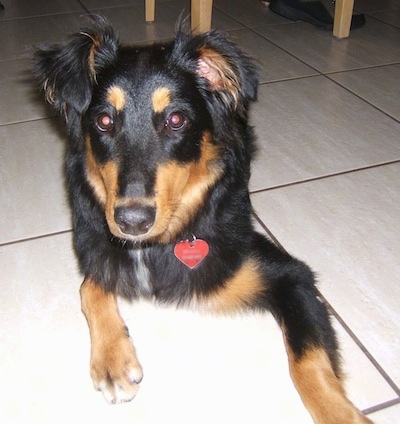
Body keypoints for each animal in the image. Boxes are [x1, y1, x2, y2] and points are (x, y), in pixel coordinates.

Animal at [34, 17, 372, 424]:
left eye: (177, 120)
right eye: (103, 121)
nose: (132, 221)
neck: (155, 245)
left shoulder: (290, 276)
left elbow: (307, 361)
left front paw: (342, 413)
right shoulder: (97, 242)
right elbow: (89, 287)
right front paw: (114, 360)